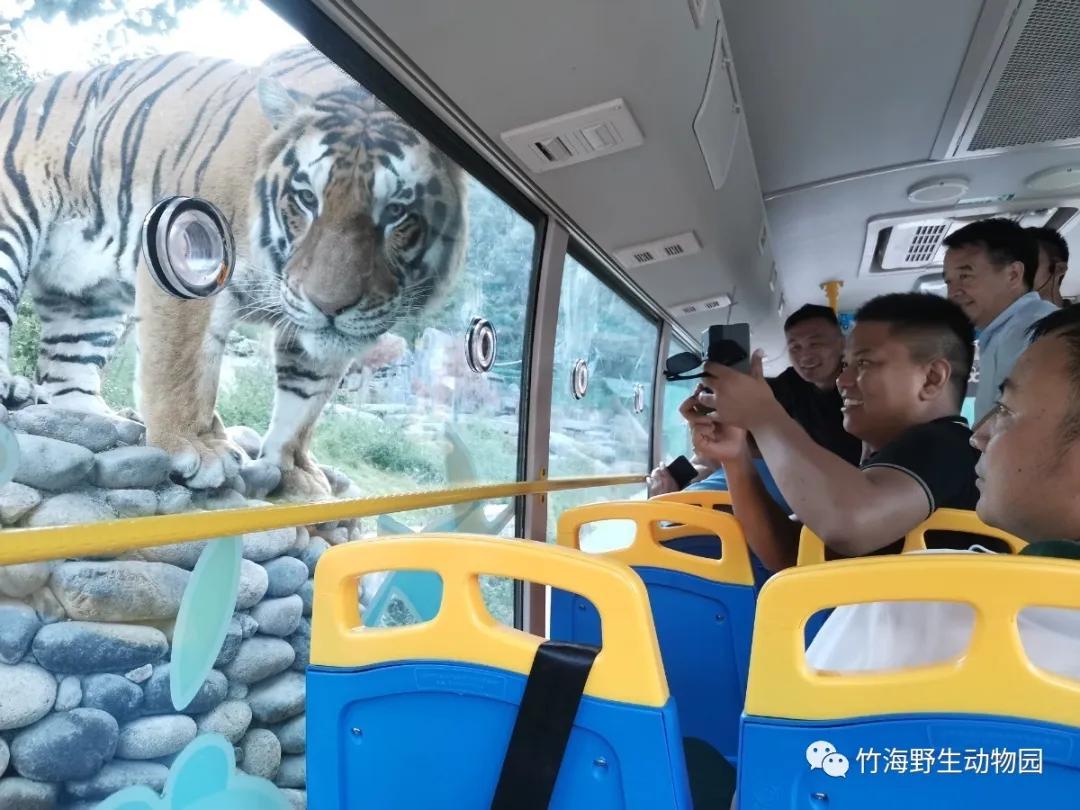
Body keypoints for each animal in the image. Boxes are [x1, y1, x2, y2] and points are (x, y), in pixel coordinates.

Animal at [0, 49, 468, 501]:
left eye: (397, 212)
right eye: (306, 199)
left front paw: (294, 471)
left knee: (67, 375)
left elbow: (306, 399)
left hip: (86, 297)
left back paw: (102, 420)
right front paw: (191, 446)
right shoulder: (184, 265)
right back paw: (12, 389)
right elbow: (180, 365)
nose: (329, 305)